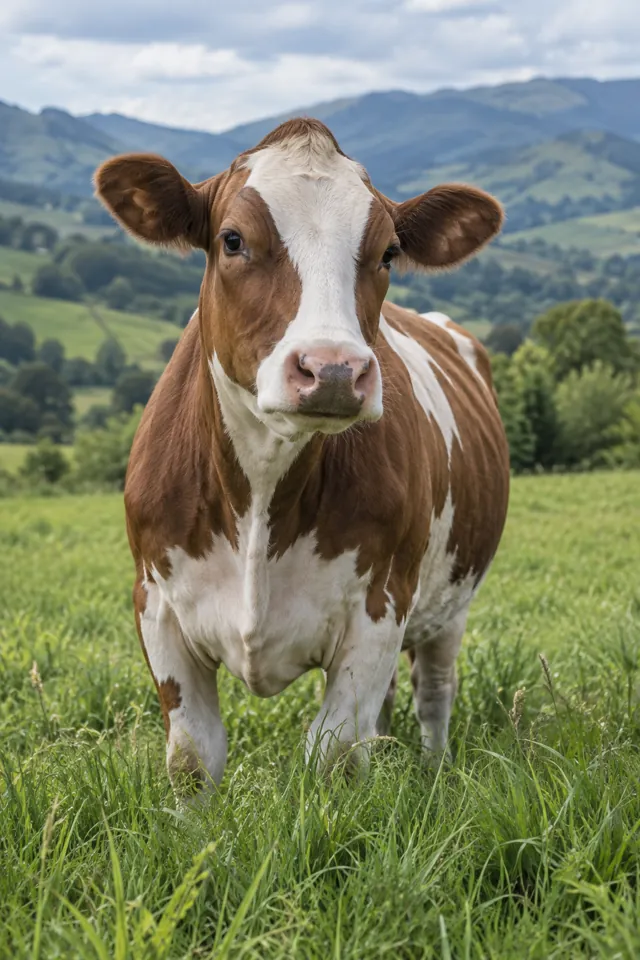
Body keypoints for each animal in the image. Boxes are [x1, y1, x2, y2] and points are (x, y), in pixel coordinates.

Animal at [95, 118, 510, 798]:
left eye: (388, 252)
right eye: (233, 240)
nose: (334, 369)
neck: (263, 489)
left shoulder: (380, 603)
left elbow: (334, 755)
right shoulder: (155, 603)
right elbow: (192, 760)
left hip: (452, 600)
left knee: (434, 691)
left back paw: (432, 769)